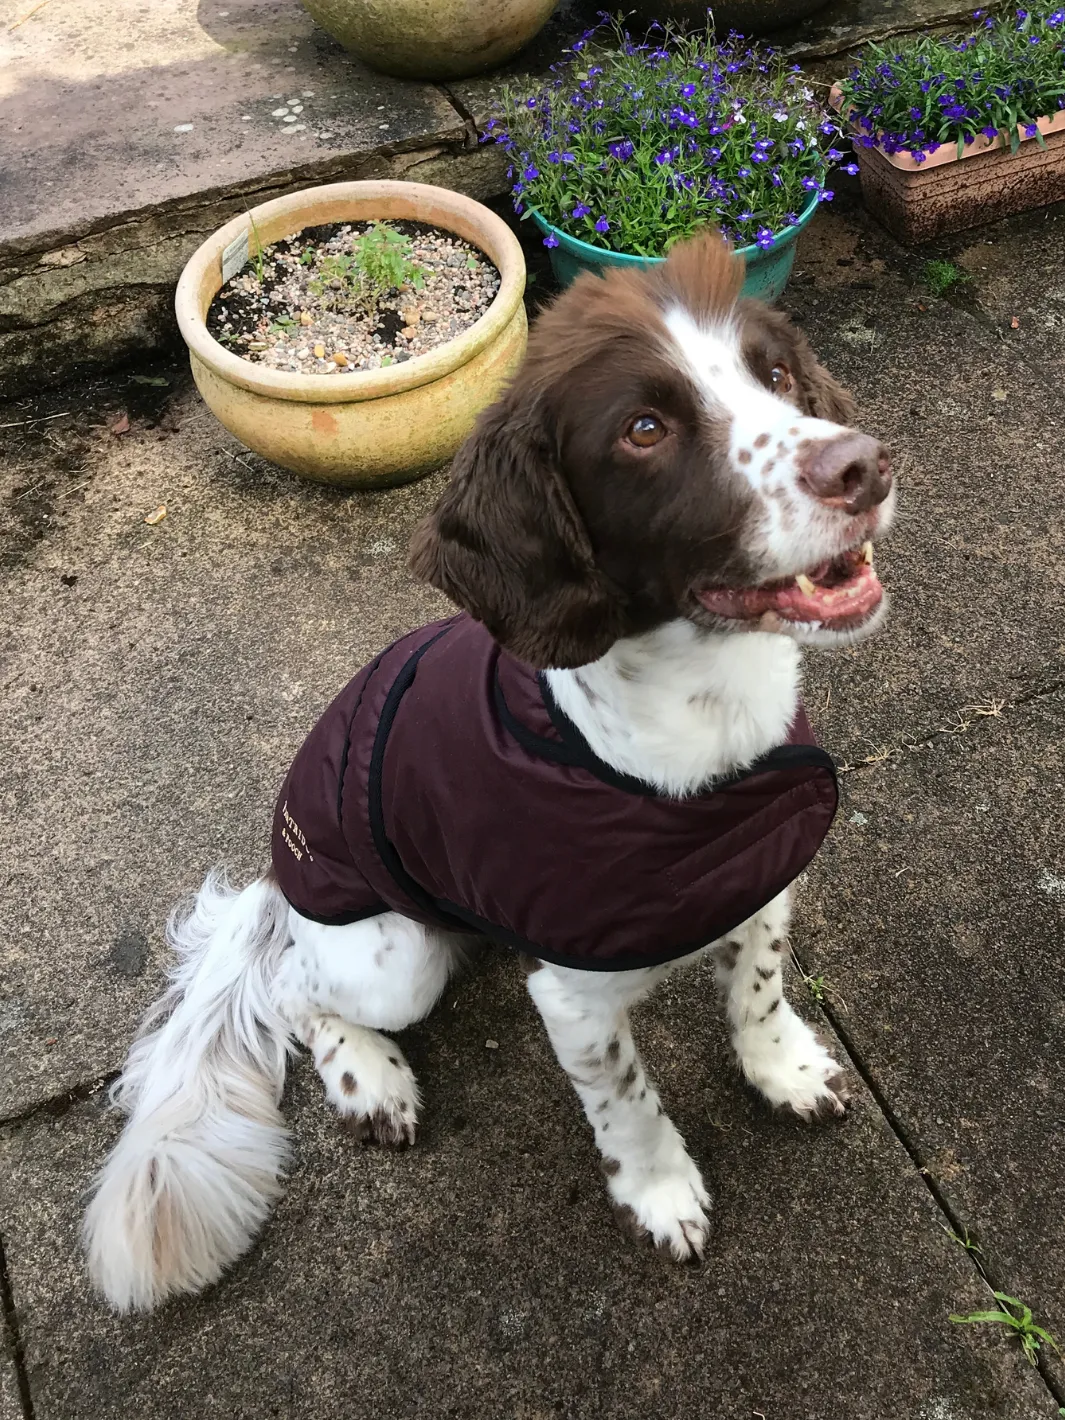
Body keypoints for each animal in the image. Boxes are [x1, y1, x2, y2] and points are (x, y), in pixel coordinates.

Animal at [83, 230, 897, 1306]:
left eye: (775, 375)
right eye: (643, 429)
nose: (864, 467)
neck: (699, 720)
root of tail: (278, 876)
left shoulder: (761, 874)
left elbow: (756, 987)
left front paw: (785, 1069)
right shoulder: (574, 997)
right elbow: (627, 1098)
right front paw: (659, 1192)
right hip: (392, 958)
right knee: (300, 992)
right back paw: (369, 1080)